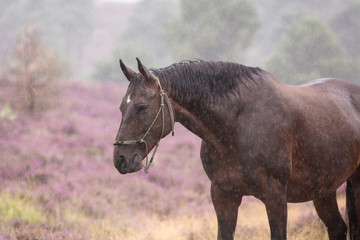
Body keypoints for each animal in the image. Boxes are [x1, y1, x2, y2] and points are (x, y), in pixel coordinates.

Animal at [112, 58, 360, 240]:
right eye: (121, 107)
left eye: (142, 107)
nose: (120, 159)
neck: (237, 124)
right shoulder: (224, 196)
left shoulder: (275, 197)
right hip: (324, 190)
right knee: (338, 228)